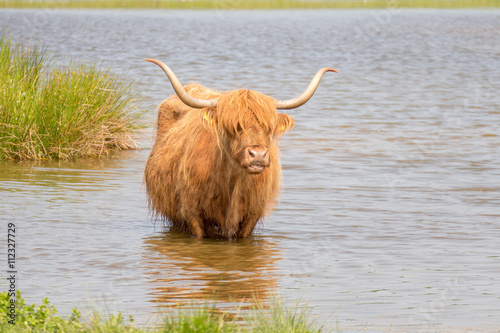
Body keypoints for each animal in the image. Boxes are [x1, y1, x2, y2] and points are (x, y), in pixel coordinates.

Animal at [143, 58, 336, 237]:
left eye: (269, 128)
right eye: (235, 127)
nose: (258, 155)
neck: (233, 183)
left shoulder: (253, 214)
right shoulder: (192, 212)